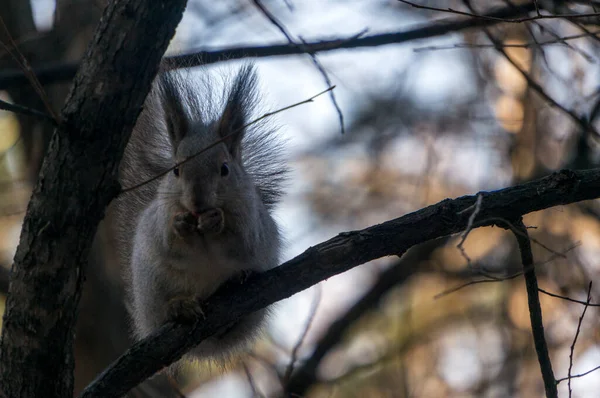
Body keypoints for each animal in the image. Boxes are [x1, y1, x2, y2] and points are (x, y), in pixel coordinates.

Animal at [110, 63, 288, 364]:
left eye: (225, 169)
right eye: (175, 170)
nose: (197, 202)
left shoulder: (252, 221)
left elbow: (239, 241)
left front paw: (217, 221)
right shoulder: (158, 221)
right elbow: (169, 243)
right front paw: (180, 224)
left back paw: (233, 285)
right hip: (152, 286)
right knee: (164, 309)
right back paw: (179, 307)